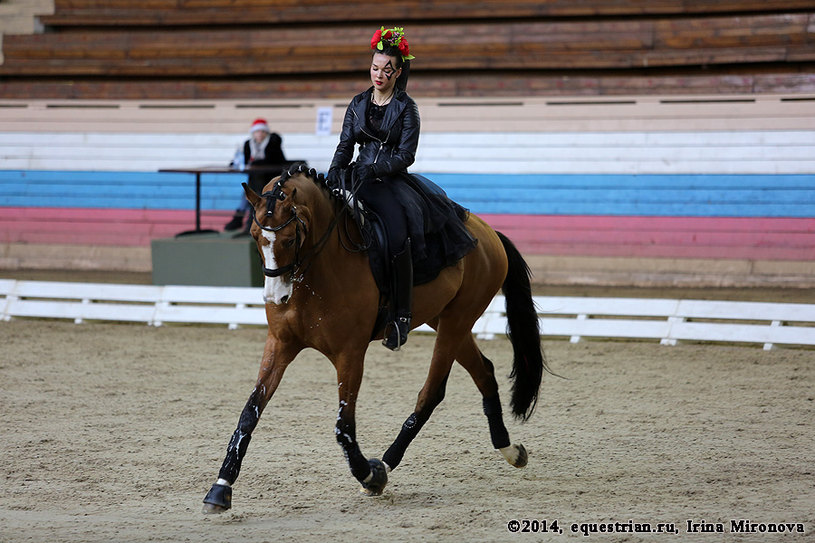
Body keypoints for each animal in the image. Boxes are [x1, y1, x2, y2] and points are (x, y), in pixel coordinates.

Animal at [202, 167, 548, 516]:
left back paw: (386, 462)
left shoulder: (350, 353)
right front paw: (220, 488)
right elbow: (250, 412)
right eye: (255, 237)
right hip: (447, 321)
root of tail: (487, 232)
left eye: (289, 239)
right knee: (484, 372)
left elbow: (343, 427)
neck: (315, 272)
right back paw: (510, 449)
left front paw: (370, 475)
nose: (276, 298)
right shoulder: (280, 344)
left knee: (431, 392)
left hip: (456, 321)